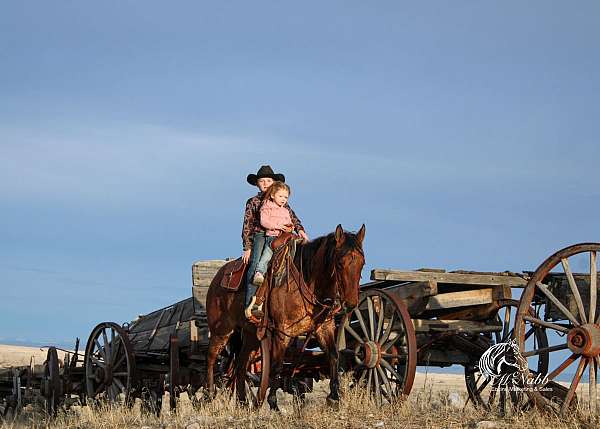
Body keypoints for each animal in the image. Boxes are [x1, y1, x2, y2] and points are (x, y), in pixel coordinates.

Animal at [206, 224, 366, 408]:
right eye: (339, 263)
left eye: (362, 263)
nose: (351, 303)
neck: (307, 281)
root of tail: (218, 277)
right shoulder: (282, 332)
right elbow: (277, 366)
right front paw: (273, 403)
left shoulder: (324, 327)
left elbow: (333, 356)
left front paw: (334, 396)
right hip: (221, 330)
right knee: (211, 358)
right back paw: (209, 395)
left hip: (251, 335)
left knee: (240, 366)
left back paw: (243, 403)